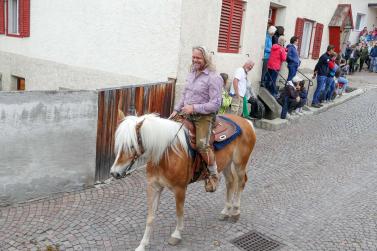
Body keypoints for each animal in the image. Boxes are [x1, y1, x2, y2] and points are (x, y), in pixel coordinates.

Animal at [109, 111, 256, 251]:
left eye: (131, 145)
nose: (115, 173)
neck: (165, 153)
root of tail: (247, 122)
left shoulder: (180, 189)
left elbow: (179, 212)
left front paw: (176, 235)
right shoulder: (154, 187)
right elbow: (150, 218)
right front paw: (142, 245)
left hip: (240, 164)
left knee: (241, 183)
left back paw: (235, 212)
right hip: (226, 164)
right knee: (230, 182)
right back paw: (226, 211)